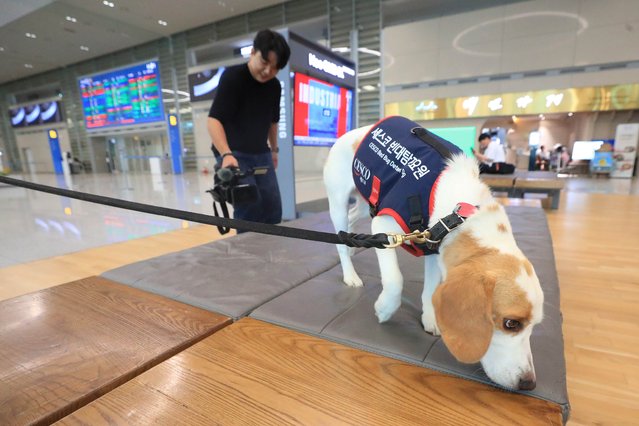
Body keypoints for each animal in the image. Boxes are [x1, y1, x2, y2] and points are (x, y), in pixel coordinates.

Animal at [324, 119, 544, 390]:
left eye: (534, 326)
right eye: (511, 323)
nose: (529, 384)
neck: (460, 213)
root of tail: (352, 133)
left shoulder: (432, 244)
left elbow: (429, 290)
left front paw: (429, 318)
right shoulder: (385, 228)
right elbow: (395, 281)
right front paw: (385, 309)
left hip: (368, 206)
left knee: (353, 220)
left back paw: (355, 244)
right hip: (339, 202)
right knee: (340, 236)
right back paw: (350, 272)